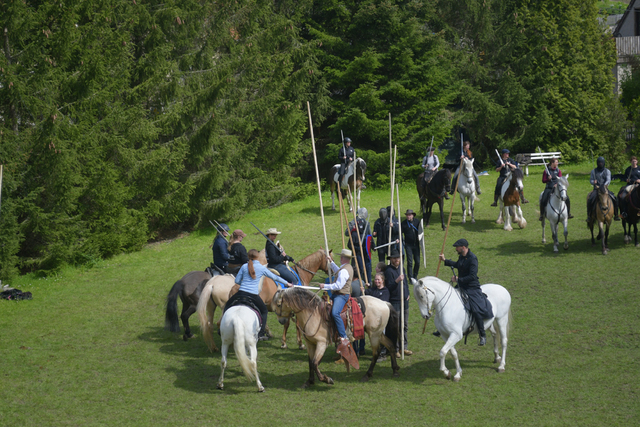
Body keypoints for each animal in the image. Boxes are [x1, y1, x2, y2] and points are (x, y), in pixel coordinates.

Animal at [272, 286, 400, 390]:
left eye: (278, 304)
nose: (281, 321)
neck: (313, 313)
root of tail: (384, 303)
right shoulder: (310, 343)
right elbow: (310, 362)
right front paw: (309, 382)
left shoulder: (322, 343)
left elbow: (314, 363)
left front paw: (327, 379)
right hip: (377, 333)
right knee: (390, 345)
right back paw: (394, 370)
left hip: (374, 334)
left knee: (376, 353)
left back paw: (367, 375)